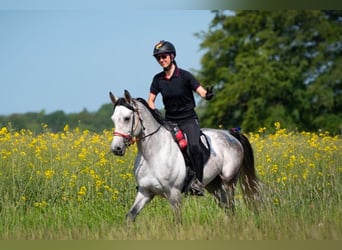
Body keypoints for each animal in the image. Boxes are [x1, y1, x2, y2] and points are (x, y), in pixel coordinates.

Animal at [109, 89, 260, 221]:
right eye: (113, 119)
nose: (116, 148)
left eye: (127, 118)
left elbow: (178, 221)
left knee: (230, 207)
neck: (152, 155)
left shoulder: (174, 194)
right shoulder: (145, 192)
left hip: (229, 181)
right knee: (227, 209)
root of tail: (231, 134)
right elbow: (130, 216)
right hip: (214, 185)